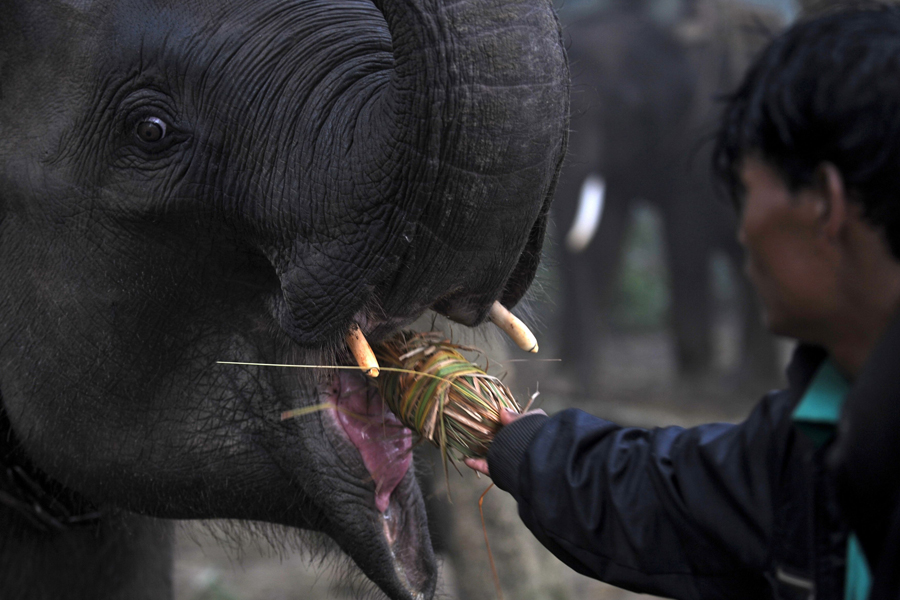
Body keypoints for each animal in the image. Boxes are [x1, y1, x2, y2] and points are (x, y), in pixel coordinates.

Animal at [544, 0, 784, 392]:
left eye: (624, 103)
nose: (577, 385)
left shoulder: (699, 139)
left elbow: (684, 231)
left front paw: (694, 369)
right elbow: (607, 233)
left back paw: (737, 381)